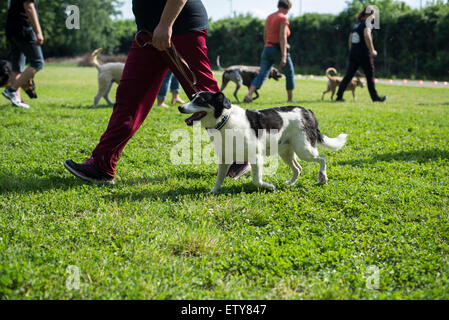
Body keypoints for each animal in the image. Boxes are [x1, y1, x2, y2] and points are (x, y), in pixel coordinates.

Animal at [178, 91, 346, 194]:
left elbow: (256, 180)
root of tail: (308, 111)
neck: (225, 120)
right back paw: (290, 183)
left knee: (322, 157)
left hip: (304, 149)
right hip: (287, 152)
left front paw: (269, 187)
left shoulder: (256, 157)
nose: (180, 107)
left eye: (200, 100)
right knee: (298, 168)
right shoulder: (224, 159)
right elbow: (219, 179)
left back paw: (322, 177)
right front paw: (213, 191)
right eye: (192, 97)